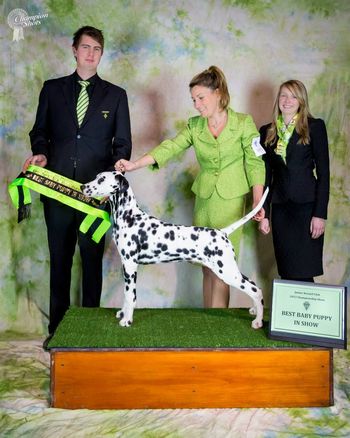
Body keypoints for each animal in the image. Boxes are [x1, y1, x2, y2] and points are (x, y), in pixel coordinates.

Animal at [82, 171, 268, 328]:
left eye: (101, 179)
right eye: (97, 177)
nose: (82, 187)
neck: (129, 217)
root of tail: (222, 232)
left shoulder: (130, 265)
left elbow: (130, 296)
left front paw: (127, 320)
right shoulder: (125, 266)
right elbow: (125, 294)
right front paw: (122, 313)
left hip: (227, 272)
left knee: (256, 290)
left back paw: (258, 321)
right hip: (230, 270)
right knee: (253, 285)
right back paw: (254, 311)